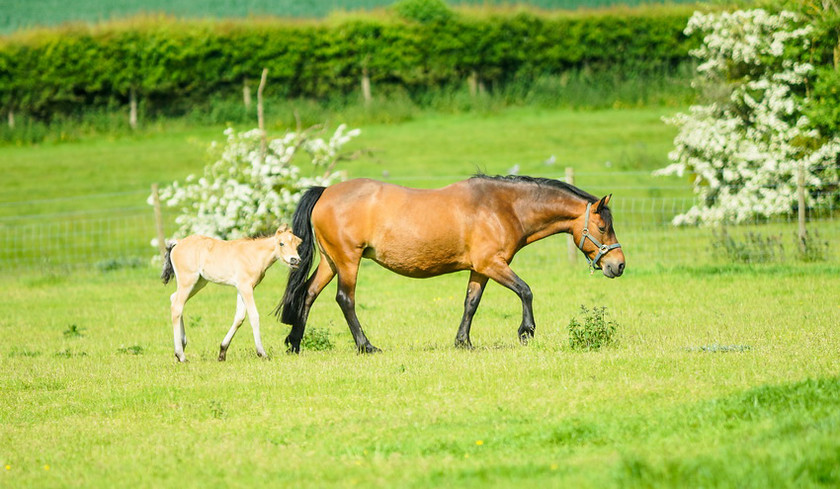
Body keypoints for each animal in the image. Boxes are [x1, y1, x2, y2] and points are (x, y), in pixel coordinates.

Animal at [161, 225, 302, 362]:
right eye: (281, 243)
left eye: (297, 243)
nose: (295, 260)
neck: (253, 255)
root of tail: (178, 242)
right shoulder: (246, 287)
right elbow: (254, 316)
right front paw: (262, 353)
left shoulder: (242, 288)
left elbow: (239, 318)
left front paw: (222, 352)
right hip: (188, 281)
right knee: (177, 306)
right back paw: (181, 355)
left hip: (199, 283)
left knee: (174, 299)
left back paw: (181, 347)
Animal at [278, 174, 624, 350]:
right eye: (602, 227)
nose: (618, 265)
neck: (502, 206)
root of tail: (325, 192)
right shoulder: (492, 264)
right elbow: (526, 290)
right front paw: (526, 332)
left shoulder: (479, 269)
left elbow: (471, 303)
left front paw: (463, 342)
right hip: (348, 261)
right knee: (344, 299)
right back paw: (366, 346)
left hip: (331, 261)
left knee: (308, 294)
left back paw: (294, 343)